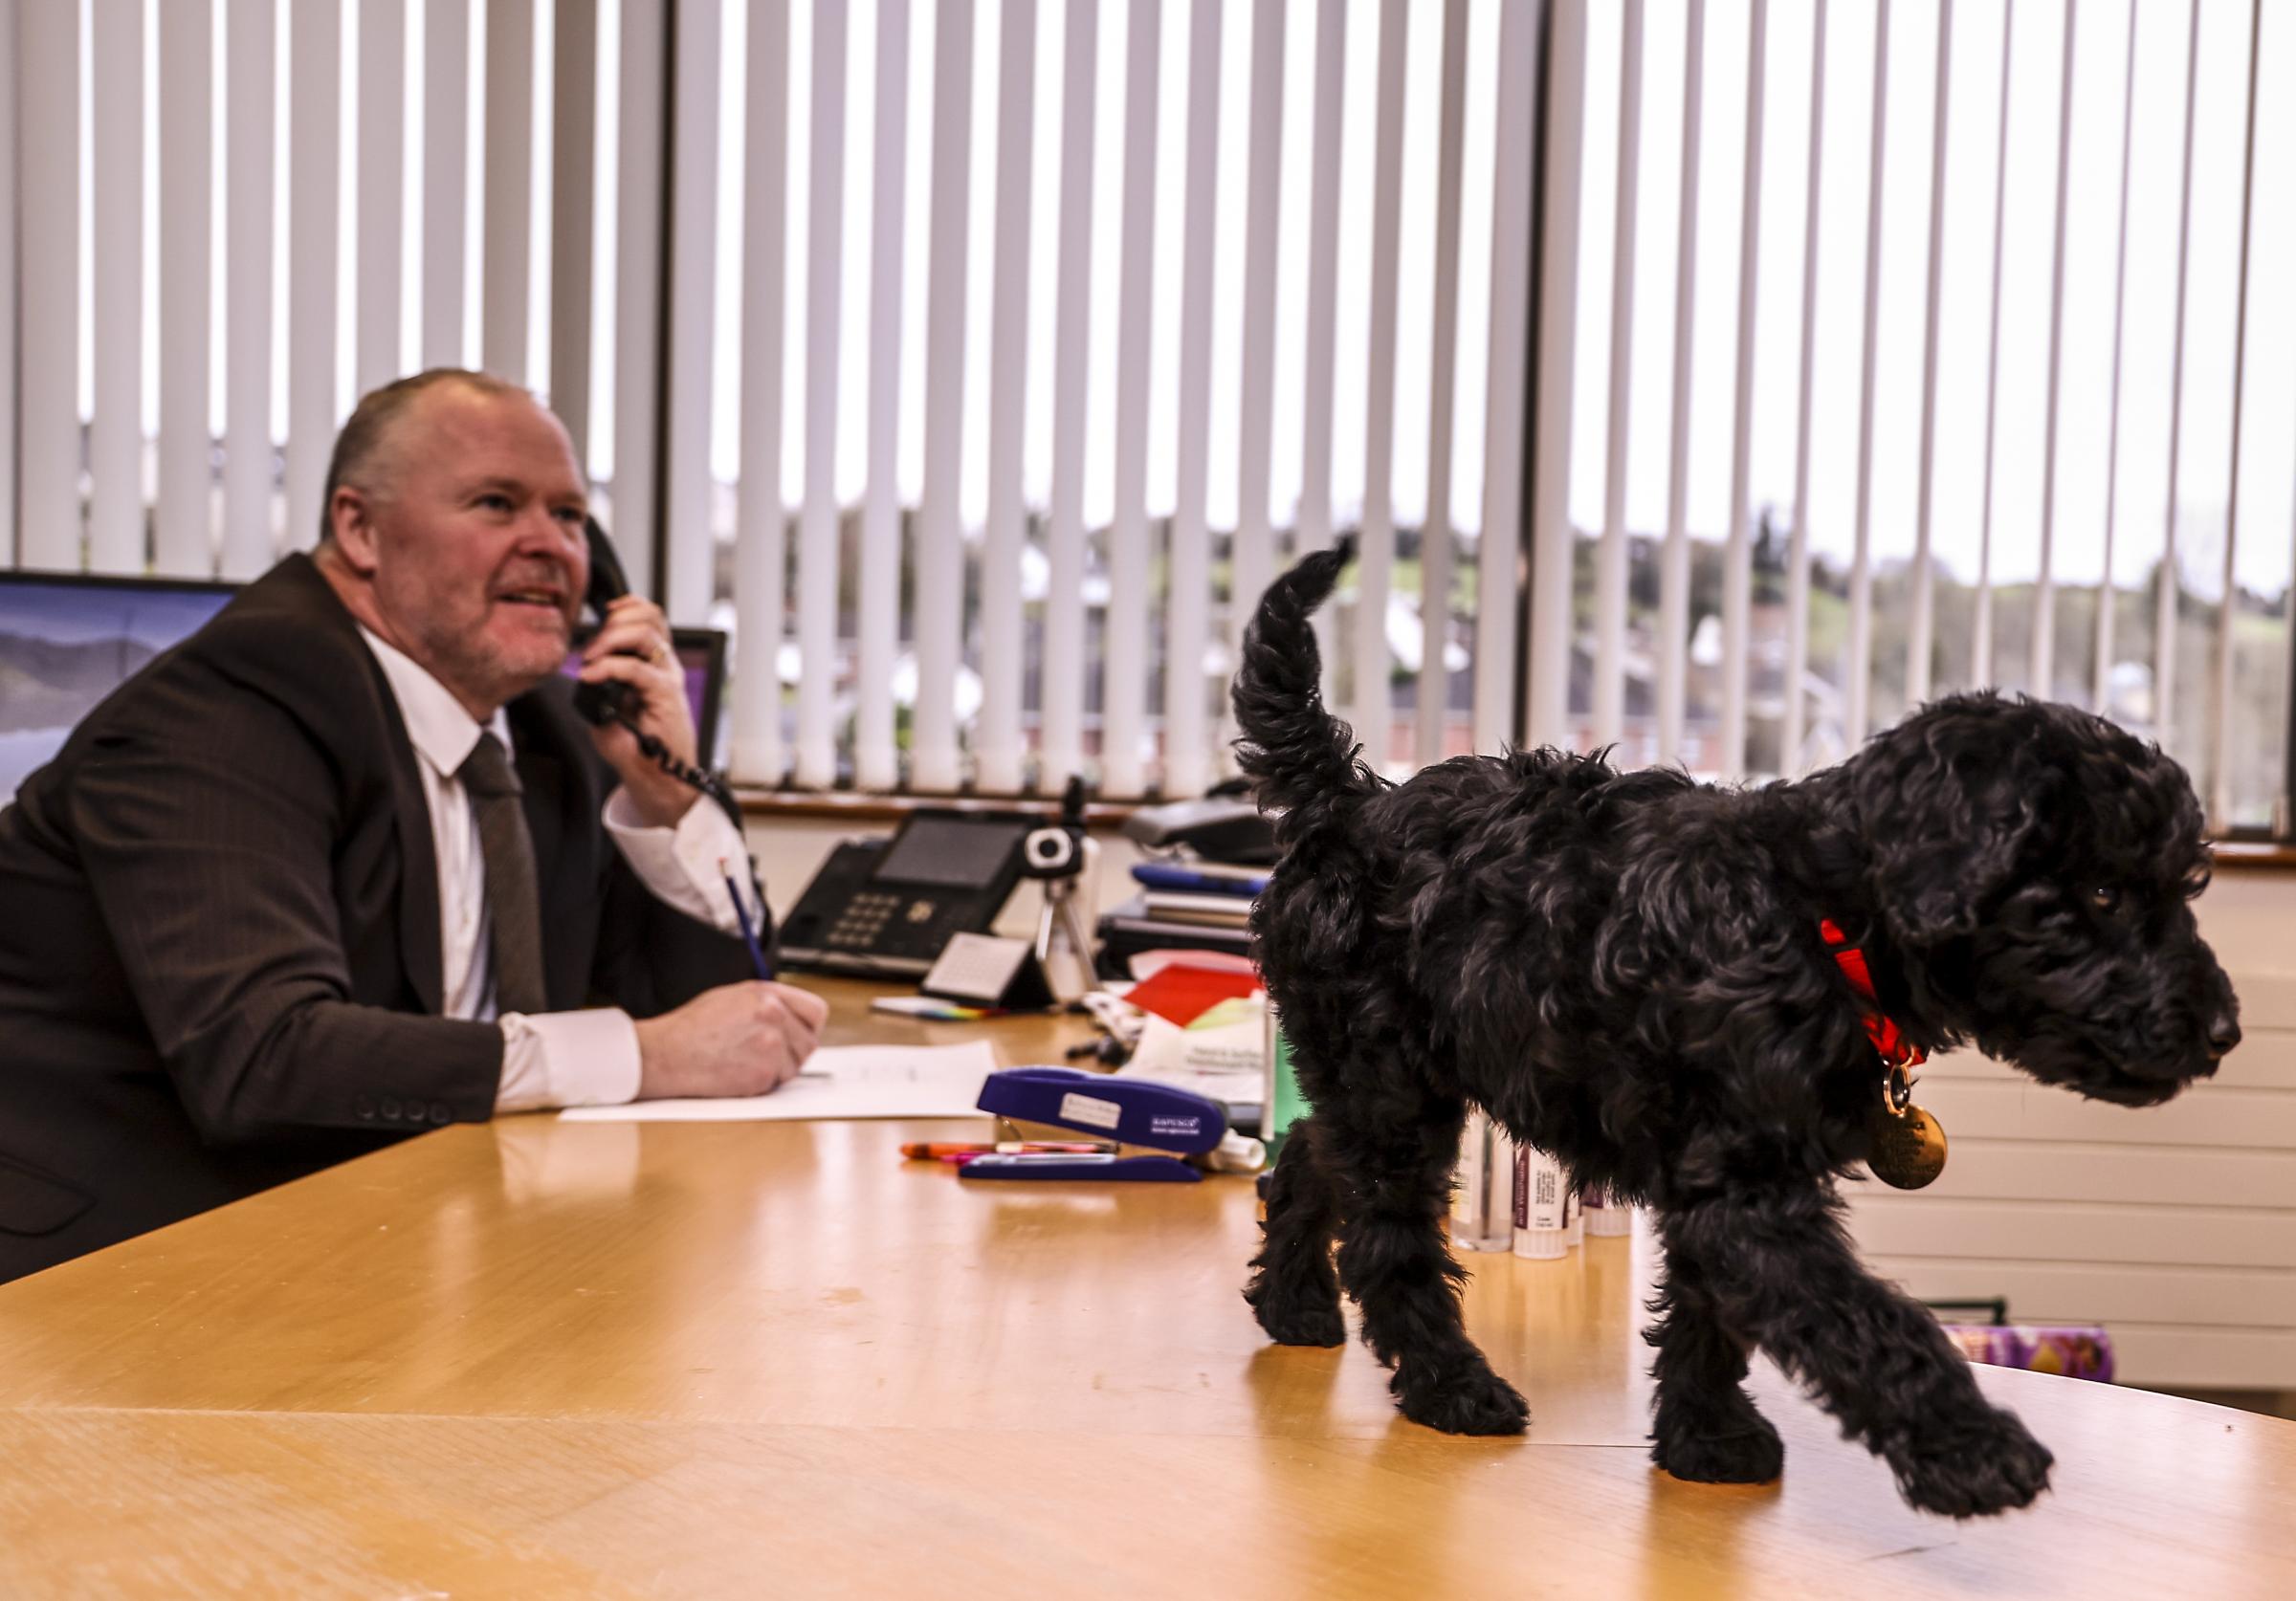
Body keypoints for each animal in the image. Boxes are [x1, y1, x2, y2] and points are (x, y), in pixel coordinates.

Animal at [1240, 543, 2241, 1513]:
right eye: (2104, 892)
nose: (2225, 1031)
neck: (1818, 917)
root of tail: (1348, 800)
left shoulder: (1719, 1174)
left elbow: (1710, 1314)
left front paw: (1706, 1441)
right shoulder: (1747, 1189)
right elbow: (1858, 1315)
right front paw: (1970, 1449)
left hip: (1375, 1081)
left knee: (1306, 1156)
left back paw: (1295, 1305)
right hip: (1390, 1085)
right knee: (1387, 1239)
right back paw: (1450, 1385)